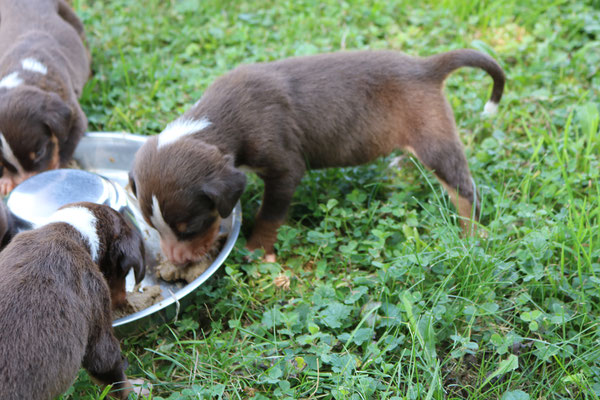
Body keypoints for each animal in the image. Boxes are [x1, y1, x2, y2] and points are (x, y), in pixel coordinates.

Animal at [0, 0, 91, 195]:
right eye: (4, 162)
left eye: (40, 152)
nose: (27, 182)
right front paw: (5, 180)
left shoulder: (74, 115)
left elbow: (65, 146)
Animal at [0, 203, 145, 400]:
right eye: (123, 271)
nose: (123, 300)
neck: (74, 229)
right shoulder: (97, 306)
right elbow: (116, 379)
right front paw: (138, 389)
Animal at [129, 48, 504, 264]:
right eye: (151, 225)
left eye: (190, 227)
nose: (177, 263)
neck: (216, 121)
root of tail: (425, 67)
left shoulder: (285, 169)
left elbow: (269, 215)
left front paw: (256, 251)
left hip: (435, 142)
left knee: (464, 191)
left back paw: (474, 236)